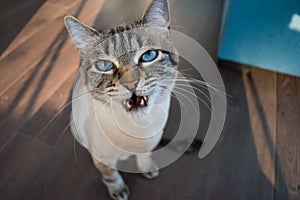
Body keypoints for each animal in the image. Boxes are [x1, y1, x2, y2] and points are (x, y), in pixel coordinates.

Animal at [64, 0, 177, 199]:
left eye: (149, 55)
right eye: (105, 65)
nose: (131, 83)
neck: (136, 132)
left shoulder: (148, 146)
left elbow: (144, 157)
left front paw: (147, 169)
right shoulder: (102, 159)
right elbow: (111, 176)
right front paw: (118, 190)